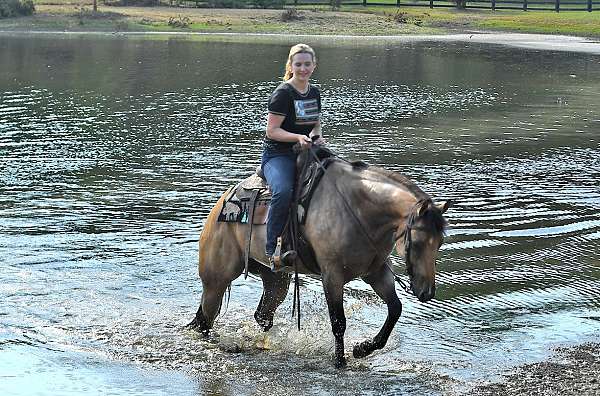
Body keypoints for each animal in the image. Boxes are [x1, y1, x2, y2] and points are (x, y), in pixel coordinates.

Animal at [190, 149, 448, 368]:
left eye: (439, 243)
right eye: (417, 243)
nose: (427, 292)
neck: (358, 210)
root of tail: (220, 206)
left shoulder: (376, 272)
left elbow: (395, 309)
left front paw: (363, 348)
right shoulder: (332, 276)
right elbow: (339, 322)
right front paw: (340, 362)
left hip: (277, 281)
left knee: (262, 316)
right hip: (216, 280)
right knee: (205, 319)